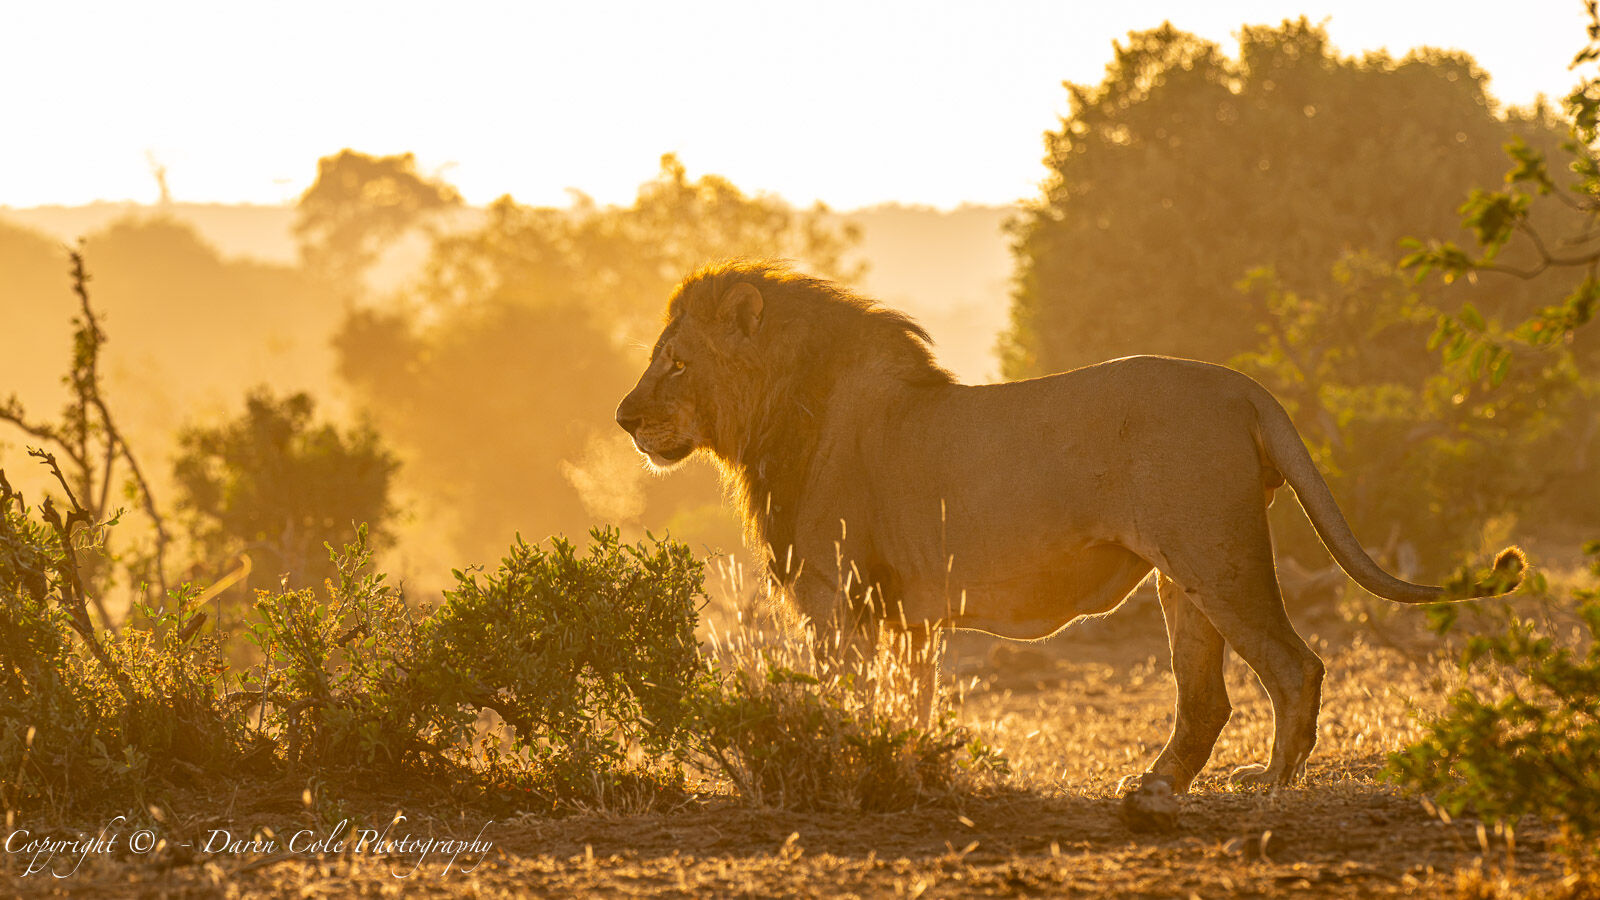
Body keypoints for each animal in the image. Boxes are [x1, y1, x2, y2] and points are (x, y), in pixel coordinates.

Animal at [615, 260, 1524, 791]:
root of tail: (1241, 385)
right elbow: (907, 706)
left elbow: (846, 701)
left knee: (1295, 666)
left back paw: (1269, 789)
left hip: (1215, 554)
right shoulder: (905, 614)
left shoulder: (838, 599)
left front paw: (842, 770)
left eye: (675, 364)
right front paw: (900, 767)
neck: (779, 416)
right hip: (1184, 575)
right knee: (1207, 699)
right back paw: (1154, 790)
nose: (624, 418)